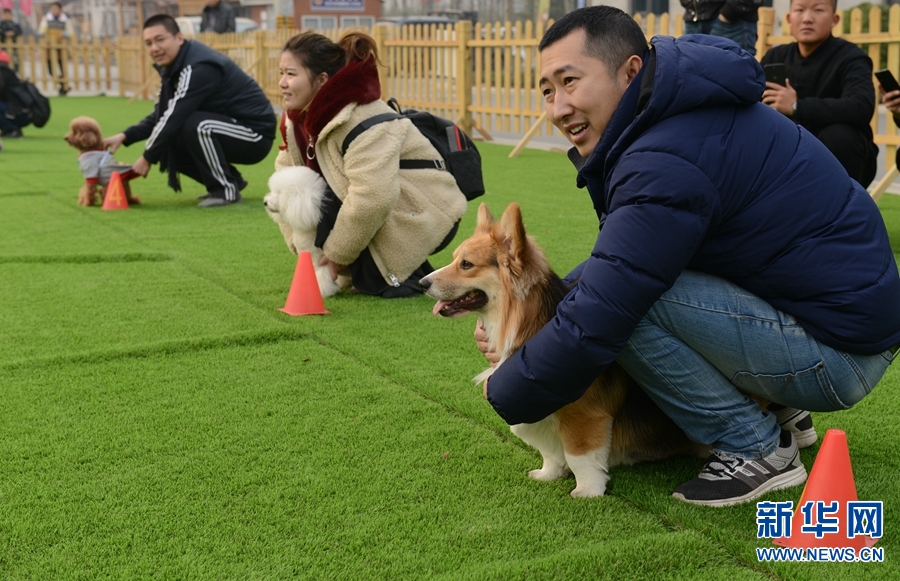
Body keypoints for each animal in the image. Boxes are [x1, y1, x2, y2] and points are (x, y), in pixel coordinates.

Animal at [264, 165, 344, 296]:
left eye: (281, 193)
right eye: (274, 191)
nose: (265, 202)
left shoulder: (318, 259)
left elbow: (321, 275)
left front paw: (322, 291)